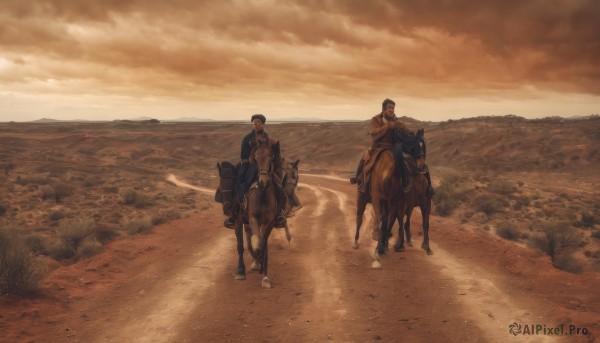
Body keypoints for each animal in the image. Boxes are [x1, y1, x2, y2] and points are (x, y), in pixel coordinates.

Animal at [236, 141, 280, 288]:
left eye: (270, 157)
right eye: (256, 157)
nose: (263, 181)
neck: (262, 195)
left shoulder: (268, 222)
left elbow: (264, 244)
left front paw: (265, 276)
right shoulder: (253, 218)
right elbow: (258, 243)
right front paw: (258, 262)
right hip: (240, 221)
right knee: (241, 244)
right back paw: (241, 271)